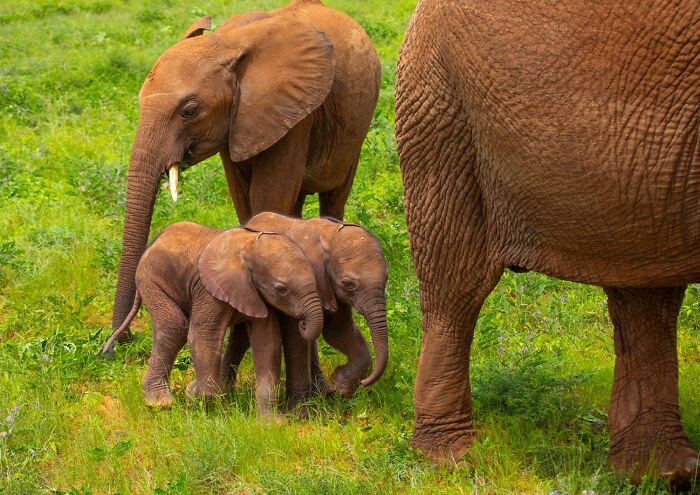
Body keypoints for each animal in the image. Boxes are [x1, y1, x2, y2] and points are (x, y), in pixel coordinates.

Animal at [101, 222, 326, 416]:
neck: (249, 249)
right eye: (281, 289)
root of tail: (155, 240)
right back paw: (159, 403)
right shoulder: (207, 288)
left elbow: (266, 342)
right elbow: (204, 335)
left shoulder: (259, 294)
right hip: (151, 279)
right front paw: (196, 396)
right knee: (175, 326)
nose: (302, 322)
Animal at [111, 0, 381, 343]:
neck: (226, 42)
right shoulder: (236, 124)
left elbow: (268, 196)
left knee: (333, 196)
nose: (126, 338)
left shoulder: (293, 112)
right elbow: (244, 200)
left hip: (353, 135)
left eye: (189, 111)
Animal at [220, 212, 389, 411]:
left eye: (386, 279)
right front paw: (300, 411)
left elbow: (338, 331)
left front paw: (342, 386)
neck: (329, 235)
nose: (365, 383)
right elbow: (300, 338)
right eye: (348, 284)